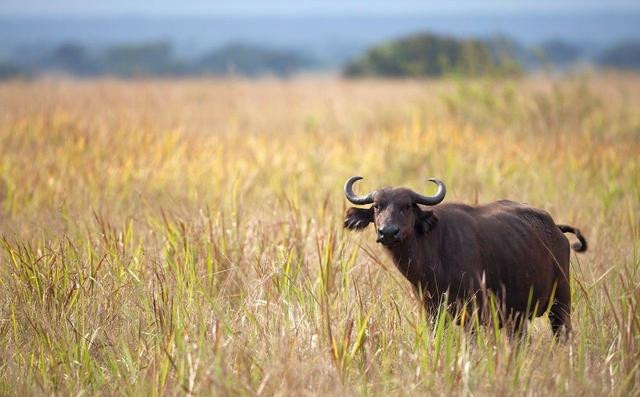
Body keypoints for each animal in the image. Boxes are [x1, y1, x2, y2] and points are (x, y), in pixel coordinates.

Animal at [342, 176, 588, 338]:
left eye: (408, 206)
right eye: (377, 206)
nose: (388, 232)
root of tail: (557, 230)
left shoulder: (473, 314)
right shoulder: (432, 313)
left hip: (561, 303)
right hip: (517, 316)